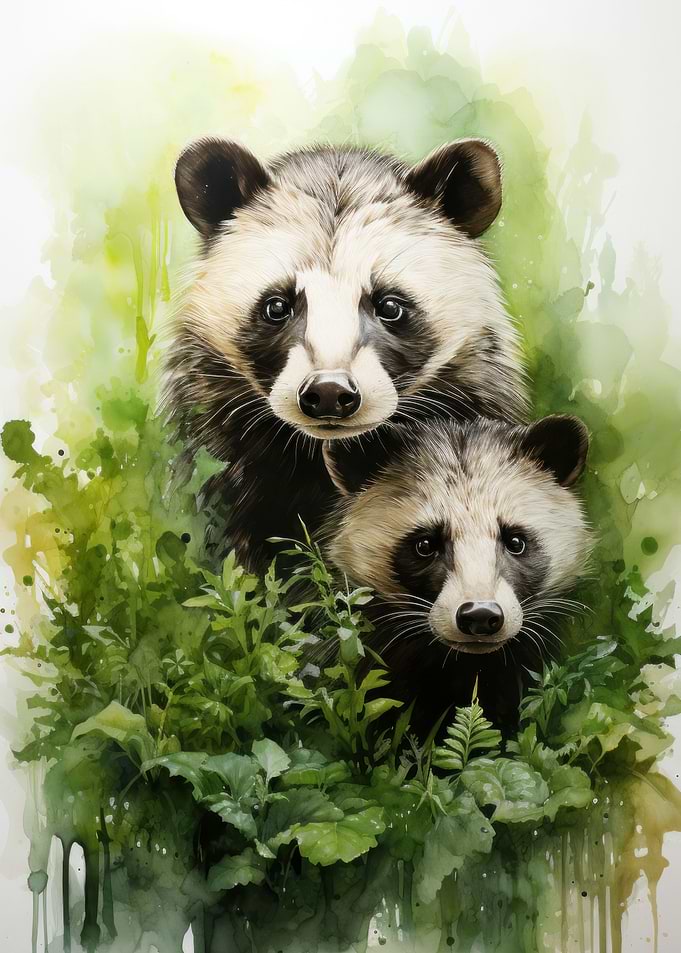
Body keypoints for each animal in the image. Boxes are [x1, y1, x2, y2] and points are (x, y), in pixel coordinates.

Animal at [164, 137, 528, 570]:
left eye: (390, 305)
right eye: (277, 306)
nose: (329, 392)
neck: (323, 456)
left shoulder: (471, 403)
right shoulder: (220, 433)